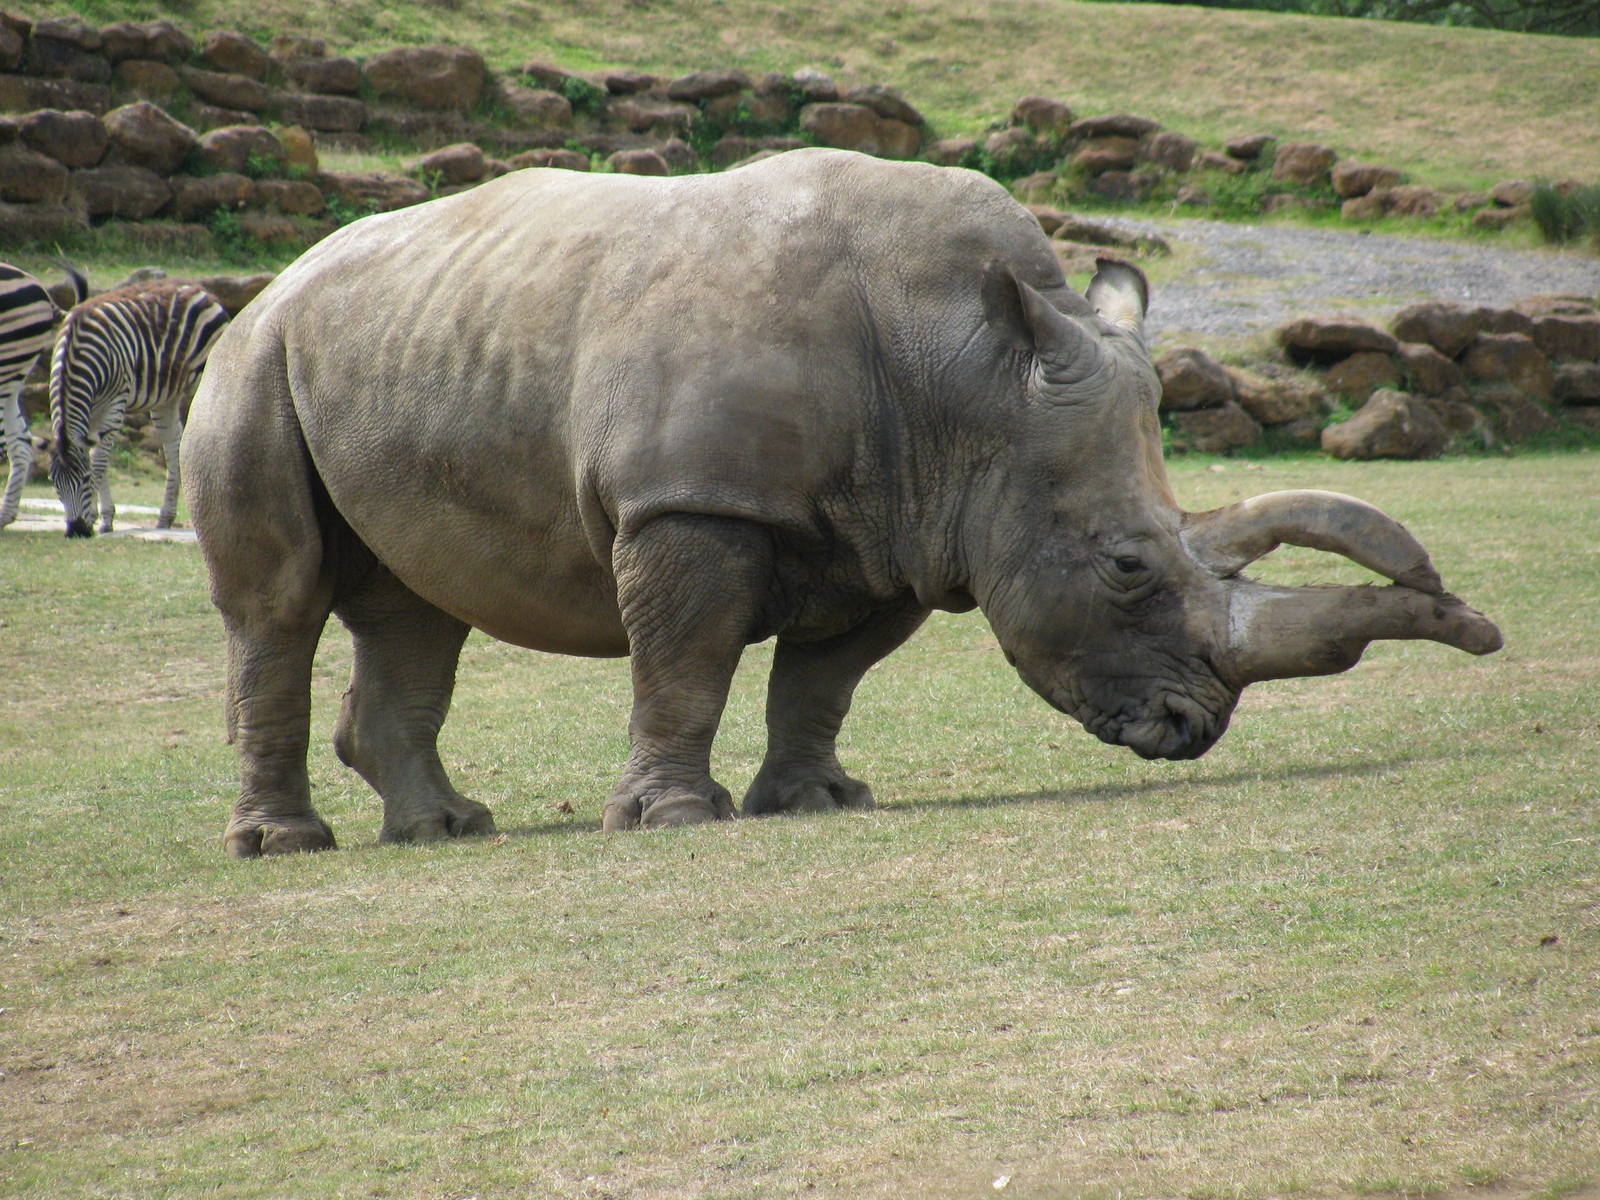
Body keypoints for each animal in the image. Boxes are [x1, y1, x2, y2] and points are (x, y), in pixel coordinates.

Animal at [183, 148, 1500, 857]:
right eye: (1127, 568)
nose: (1193, 727)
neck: (968, 378)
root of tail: (278, 279)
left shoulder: (906, 526)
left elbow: (823, 680)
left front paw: (816, 801)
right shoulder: (691, 504)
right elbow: (686, 661)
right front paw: (674, 822)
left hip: (400, 348)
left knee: (416, 606)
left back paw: (448, 830)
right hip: (252, 363)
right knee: (279, 603)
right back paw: (285, 847)